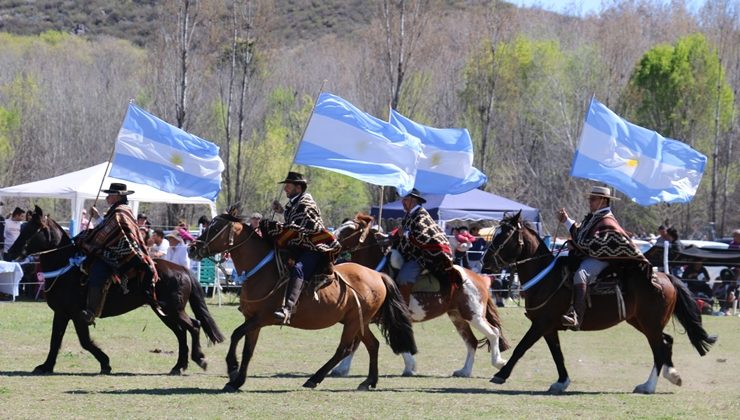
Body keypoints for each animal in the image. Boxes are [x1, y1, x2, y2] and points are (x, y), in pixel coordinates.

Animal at [5, 207, 224, 374]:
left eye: (32, 230)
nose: (8, 253)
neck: (67, 268)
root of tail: (184, 271)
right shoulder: (62, 313)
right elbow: (55, 340)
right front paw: (46, 366)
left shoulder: (76, 315)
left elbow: (84, 341)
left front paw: (105, 363)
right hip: (164, 311)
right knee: (181, 333)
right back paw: (179, 366)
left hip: (174, 310)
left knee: (194, 326)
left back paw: (199, 359)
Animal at [330, 213, 508, 378]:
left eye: (350, 229)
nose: (331, 241)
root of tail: (479, 279)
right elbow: (356, 341)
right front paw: (341, 368)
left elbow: (358, 342)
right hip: (457, 317)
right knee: (472, 342)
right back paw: (464, 371)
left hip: (473, 315)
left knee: (493, 333)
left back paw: (498, 362)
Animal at [482, 213, 712, 394]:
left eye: (504, 236)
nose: (485, 262)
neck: (545, 277)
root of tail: (666, 277)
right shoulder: (548, 328)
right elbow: (557, 355)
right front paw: (561, 382)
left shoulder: (541, 324)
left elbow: (521, 347)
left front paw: (501, 374)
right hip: (641, 322)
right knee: (667, 342)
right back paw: (671, 375)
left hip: (650, 324)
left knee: (660, 349)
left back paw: (648, 386)